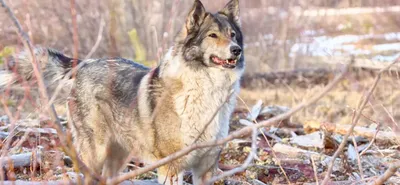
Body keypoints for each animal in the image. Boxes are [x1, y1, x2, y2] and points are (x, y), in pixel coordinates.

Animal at [0, 0, 244, 184]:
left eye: (232, 35)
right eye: (212, 35)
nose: (237, 50)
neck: (209, 91)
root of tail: (84, 63)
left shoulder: (206, 168)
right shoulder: (171, 167)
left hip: (117, 158)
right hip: (95, 155)